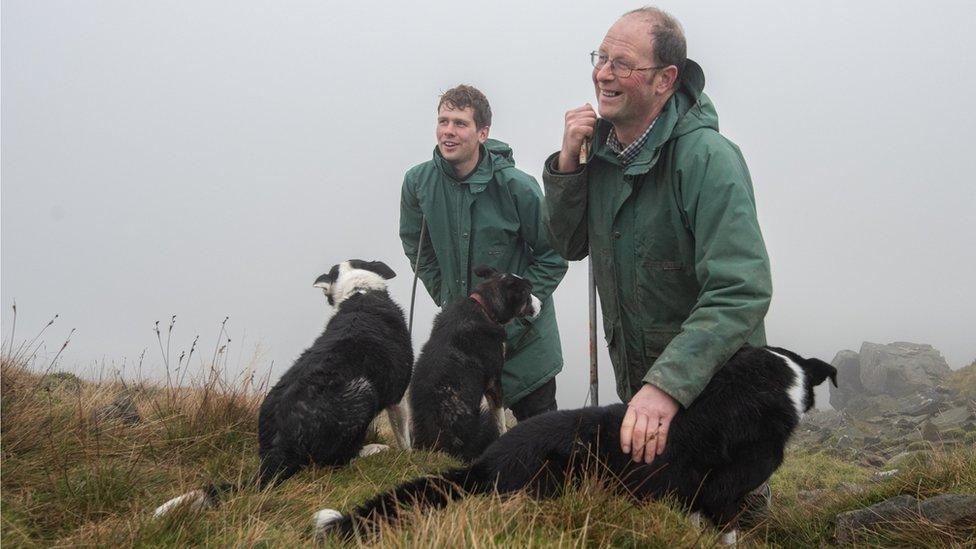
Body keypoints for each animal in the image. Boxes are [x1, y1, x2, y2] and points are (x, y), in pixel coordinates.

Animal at [406, 264, 540, 460]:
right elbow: (500, 418)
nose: (541, 304)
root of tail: (436, 444)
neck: (485, 306)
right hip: (481, 423)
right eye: (528, 293)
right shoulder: (494, 381)